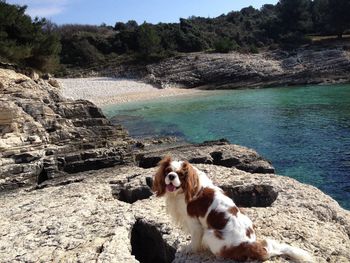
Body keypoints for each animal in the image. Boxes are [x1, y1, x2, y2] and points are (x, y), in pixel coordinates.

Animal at [152, 157, 314, 262]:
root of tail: (251, 244)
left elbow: (194, 240)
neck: (183, 191)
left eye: (180, 174)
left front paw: (190, 249)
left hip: (211, 233)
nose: (171, 176)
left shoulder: (195, 223)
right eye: (167, 171)